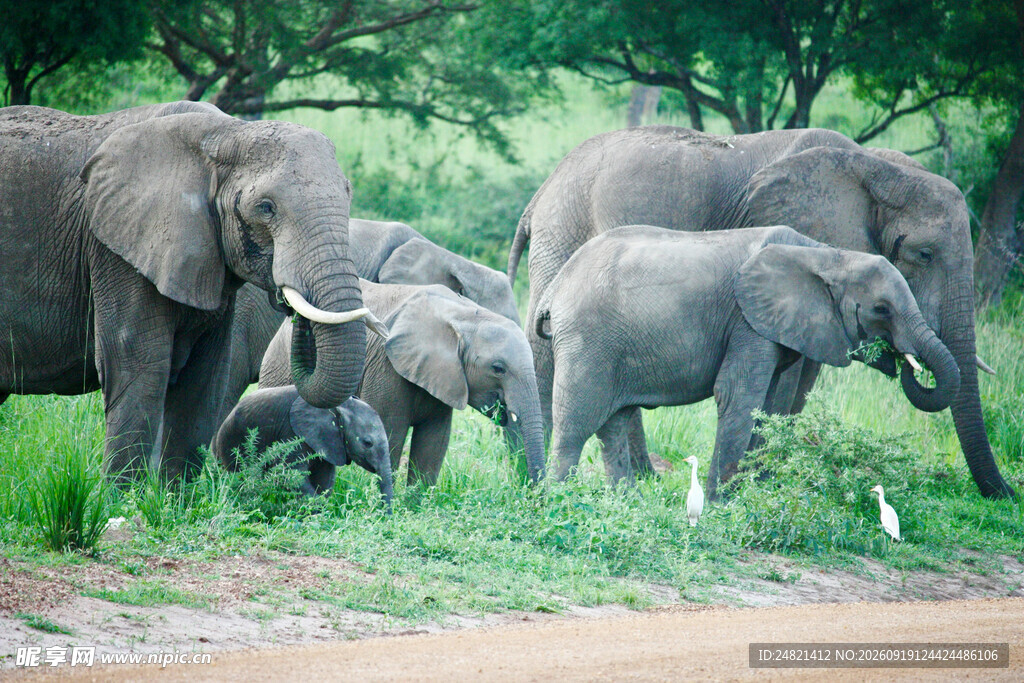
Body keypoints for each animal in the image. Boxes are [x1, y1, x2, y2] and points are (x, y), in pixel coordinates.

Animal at [0, 102, 380, 483]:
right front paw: (123, 498)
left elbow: (204, 380)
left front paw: (174, 496)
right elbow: (139, 370)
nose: (291, 305)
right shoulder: (116, 251)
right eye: (266, 207)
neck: (225, 134)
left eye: (348, 195)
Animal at [212, 386, 393, 506]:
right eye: (367, 443)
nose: (384, 516)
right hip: (231, 442)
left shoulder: (329, 441)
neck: (341, 406)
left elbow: (325, 478)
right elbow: (290, 473)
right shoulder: (292, 432)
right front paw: (319, 509)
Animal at [260, 281, 546, 486]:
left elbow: (433, 444)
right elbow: (390, 434)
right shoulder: (388, 367)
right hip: (279, 365)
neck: (465, 316)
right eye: (498, 369)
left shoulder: (445, 377)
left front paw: (414, 509)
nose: (536, 499)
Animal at [536, 225, 960, 498]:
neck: (827, 254)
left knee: (613, 422)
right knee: (577, 421)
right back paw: (557, 500)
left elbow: (767, 407)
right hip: (587, 339)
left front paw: (744, 497)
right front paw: (720, 504)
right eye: (881, 309)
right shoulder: (748, 320)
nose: (901, 360)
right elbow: (738, 397)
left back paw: (626, 502)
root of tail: (554, 288)